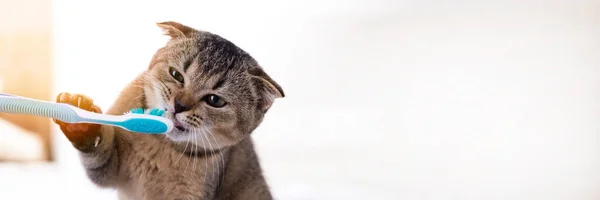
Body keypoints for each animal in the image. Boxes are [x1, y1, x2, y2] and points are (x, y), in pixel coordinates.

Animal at [52, 21, 284, 199]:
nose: (179, 105)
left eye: (215, 100)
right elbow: (98, 157)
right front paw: (82, 124)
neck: (161, 144)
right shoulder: (111, 171)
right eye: (176, 75)